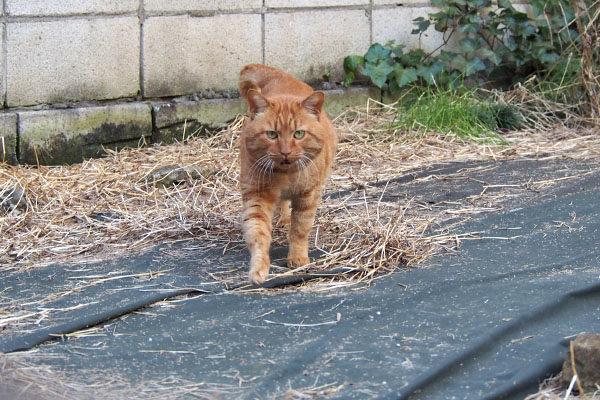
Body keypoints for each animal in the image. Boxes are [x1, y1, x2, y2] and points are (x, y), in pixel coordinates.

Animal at [238, 64, 338, 284]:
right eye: (272, 134)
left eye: (298, 134)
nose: (285, 151)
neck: (286, 176)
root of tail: (280, 76)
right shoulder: (257, 196)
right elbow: (258, 233)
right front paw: (259, 269)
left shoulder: (308, 196)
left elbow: (300, 229)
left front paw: (298, 257)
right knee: (282, 205)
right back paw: (283, 219)